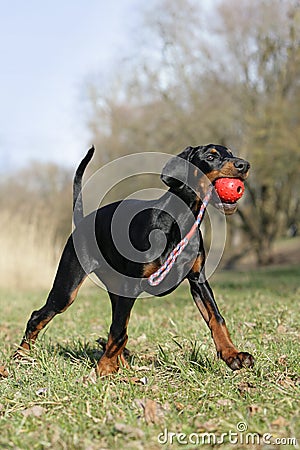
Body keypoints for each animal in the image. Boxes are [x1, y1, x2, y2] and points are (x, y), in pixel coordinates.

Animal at [15, 143, 254, 372]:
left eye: (230, 152)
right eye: (211, 156)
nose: (244, 164)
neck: (180, 220)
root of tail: (82, 221)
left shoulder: (198, 280)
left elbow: (216, 318)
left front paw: (233, 354)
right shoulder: (132, 286)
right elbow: (120, 330)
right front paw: (104, 369)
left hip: (116, 290)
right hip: (67, 290)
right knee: (39, 315)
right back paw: (21, 356)